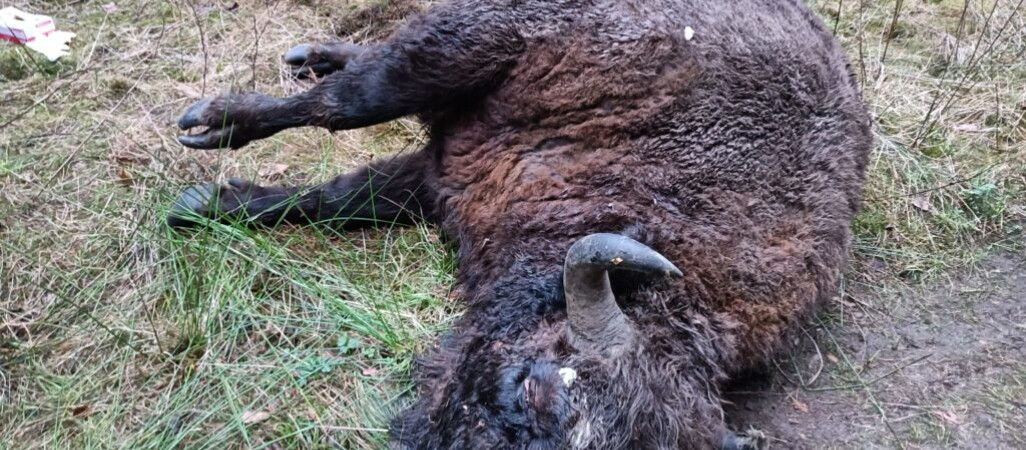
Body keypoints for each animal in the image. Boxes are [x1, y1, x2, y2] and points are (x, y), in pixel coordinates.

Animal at [166, 0, 865, 448]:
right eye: (533, 391)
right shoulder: (470, 55)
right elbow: (343, 113)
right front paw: (214, 139)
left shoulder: (450, 178)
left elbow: (340, 199)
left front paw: (207, 204)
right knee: (353, 83)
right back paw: (279, 77)